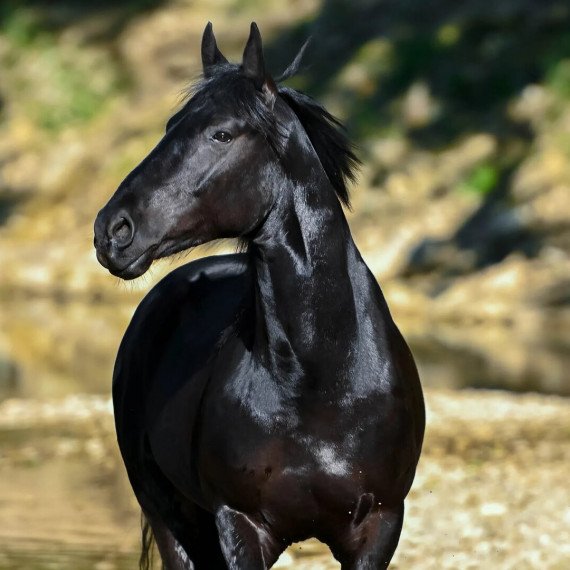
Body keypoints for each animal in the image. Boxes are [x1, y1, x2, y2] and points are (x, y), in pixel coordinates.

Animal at [92, 23, 422, 568]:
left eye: (222, 133)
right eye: (170, 126)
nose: (112, 231)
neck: (322, 380)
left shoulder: (379, 528)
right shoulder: (240, 525)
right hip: (172, 519)